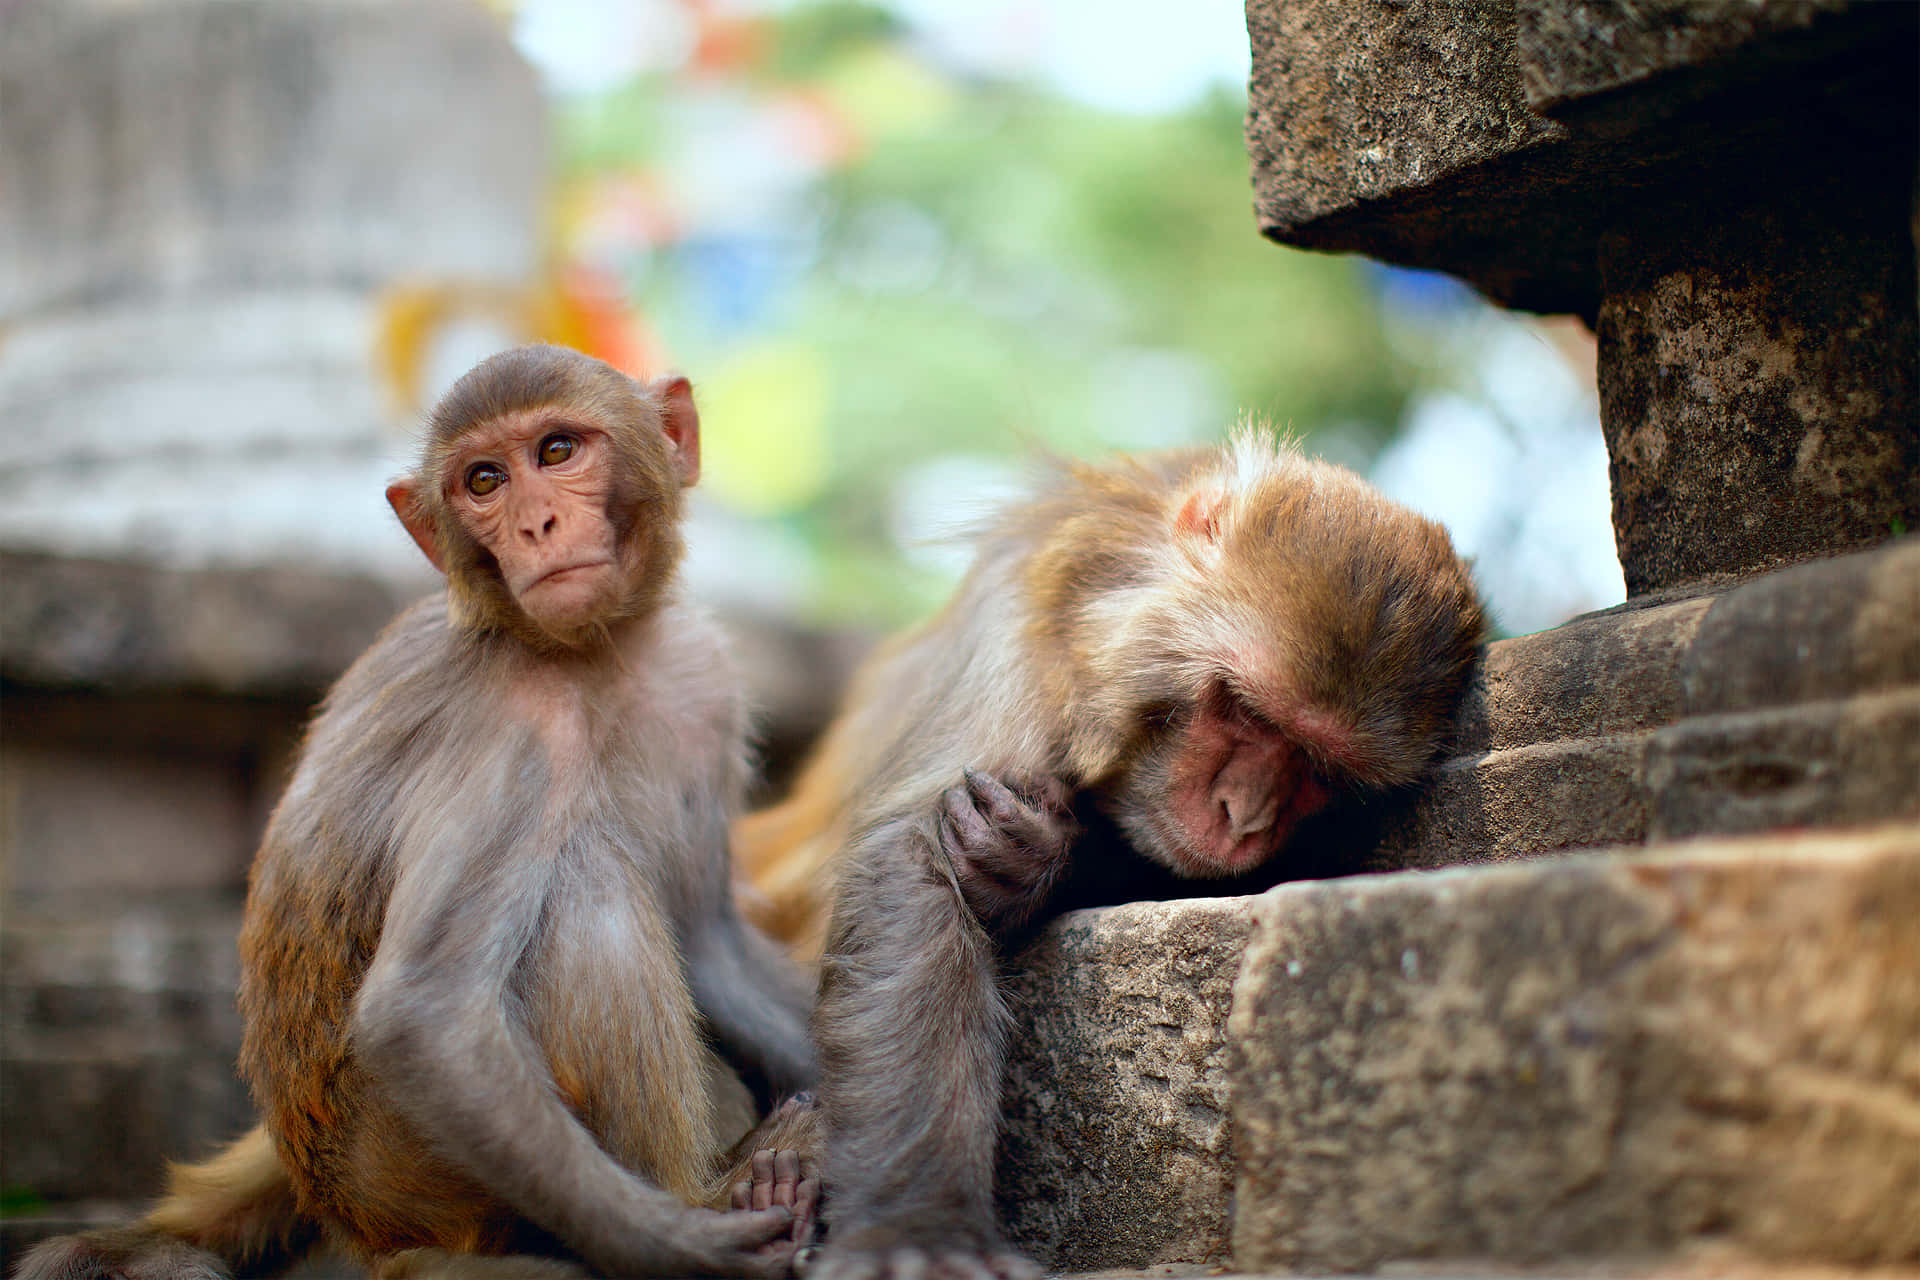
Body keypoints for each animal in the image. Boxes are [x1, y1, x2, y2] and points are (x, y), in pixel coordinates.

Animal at [16, 343, 825, 1280]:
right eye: (484, 481)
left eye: (556, 452)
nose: (537, 525)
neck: (594, 653)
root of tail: (354, 1219)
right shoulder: (511, 722)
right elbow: (424, 1013)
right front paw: (683, 1246)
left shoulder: (702, 684)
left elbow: (709, 940)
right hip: (406, 1174)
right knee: (584, 894)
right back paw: (716, 1190)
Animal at [733, 429, 1482, 1280]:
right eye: (1247, 712)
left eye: (1319, 768)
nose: (1243, 816)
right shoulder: (1013, 644)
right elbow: (910, 862)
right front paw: (917, 1226)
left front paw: (1031, 866)